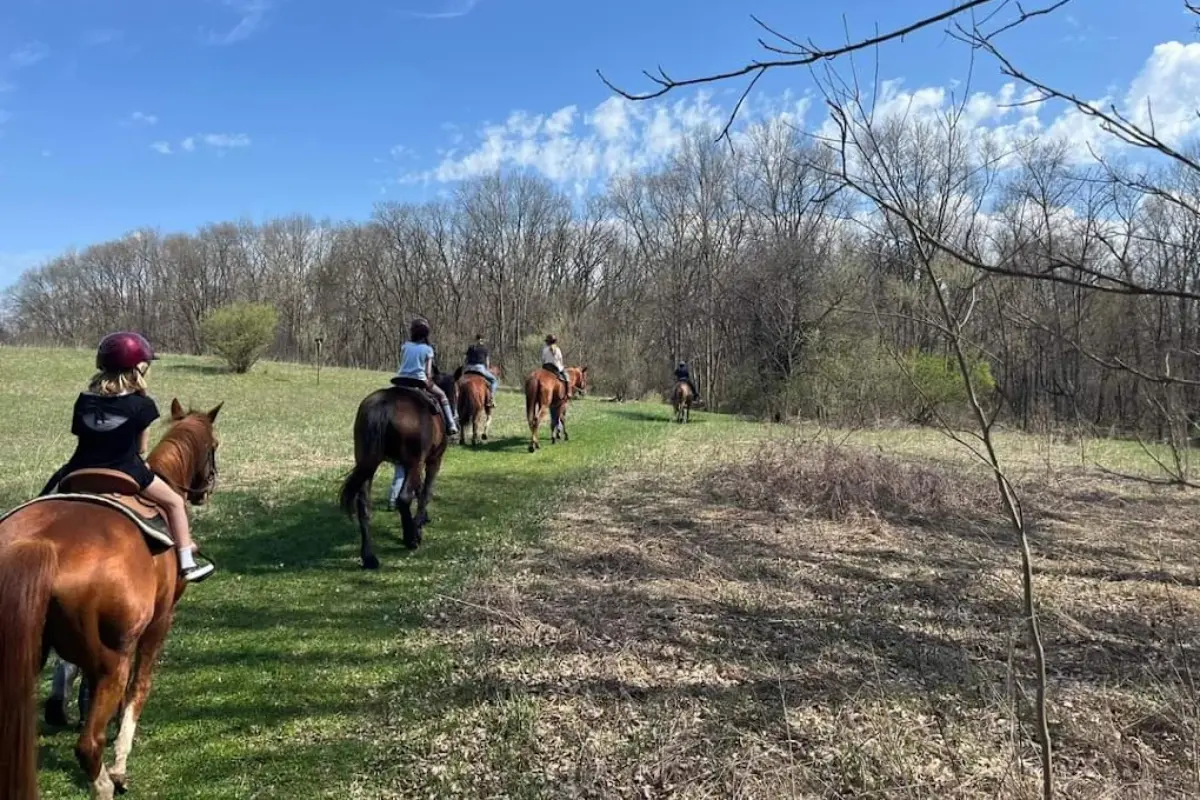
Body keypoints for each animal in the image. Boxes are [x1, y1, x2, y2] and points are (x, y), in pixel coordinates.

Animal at [0, 399, 223, 800]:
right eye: (213, 445)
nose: (206, 488)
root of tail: (39, 543)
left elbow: (70, 671)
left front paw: (62, 705)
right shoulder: (159, 622)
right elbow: (139, 688)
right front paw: (120, 761)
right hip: (113, 660)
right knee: (89, 744)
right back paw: (105, 780)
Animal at [339, 368, 461, 569]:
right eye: (458, 391)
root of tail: (384, 404)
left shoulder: (405, 465)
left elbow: (418, 489)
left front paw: (421, 520)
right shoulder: (433, 460)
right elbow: (425, 492)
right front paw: (418, 525)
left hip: (368, 465)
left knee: (364, 505)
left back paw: (369, 556)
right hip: (414, 462)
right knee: (403, 498)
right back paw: (411, 539)